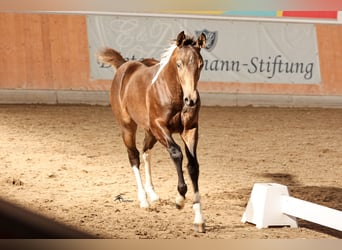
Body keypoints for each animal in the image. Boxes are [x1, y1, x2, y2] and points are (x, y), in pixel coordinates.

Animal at [97, 31, 207, 232]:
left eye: (201, 64)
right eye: (179, 64)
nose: (191, 100)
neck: (174, 93)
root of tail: (124, 65)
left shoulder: (189, 130)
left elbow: (193, 166)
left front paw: (199, 219)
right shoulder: (159, 126)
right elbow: (176, 153)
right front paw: (180, 199)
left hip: (150, 132)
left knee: (145, 151)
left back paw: (153, 194)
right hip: (128, 127)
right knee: (133, 156)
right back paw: (143, 200)